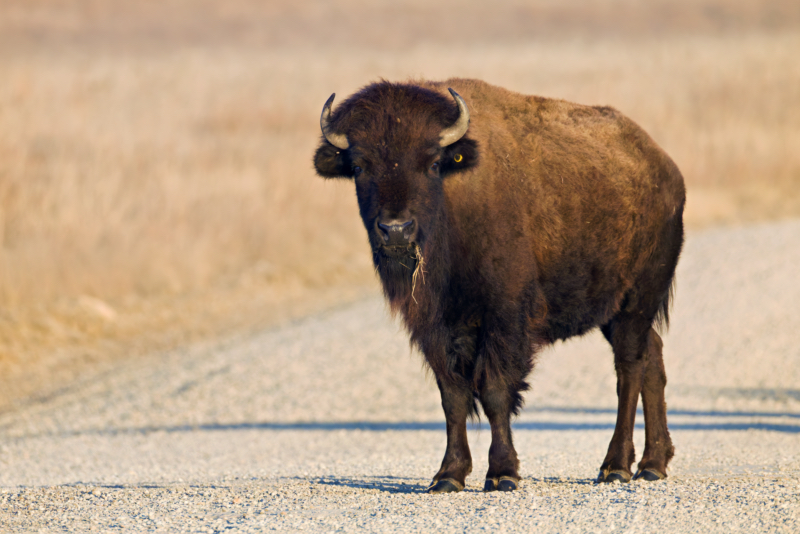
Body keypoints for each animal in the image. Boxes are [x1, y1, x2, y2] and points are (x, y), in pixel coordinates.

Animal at [316, 78, 684, 494]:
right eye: (359, 165)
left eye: (431, 163)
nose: (395, 230)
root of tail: (666, 170)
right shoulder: (436, 328)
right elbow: (453, 397)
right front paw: (448, 475)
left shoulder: (505, 317)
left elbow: (494, 390)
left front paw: (502, 473)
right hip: (618, 313)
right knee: (652, 359)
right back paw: (653, 464)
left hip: (636, 301)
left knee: (629, 370)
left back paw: (616, 466)